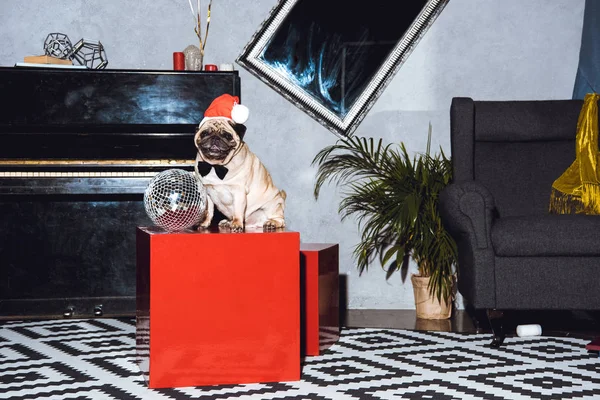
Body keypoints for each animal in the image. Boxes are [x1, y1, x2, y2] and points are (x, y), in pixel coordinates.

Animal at [193, 94, 284, 231]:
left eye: (227, 135)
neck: (216, 166)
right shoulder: (207, 191)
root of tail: (253, 224)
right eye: (204, 133)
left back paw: (272, 223)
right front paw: (204, 223)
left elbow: (237, 211)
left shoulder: (239, 192)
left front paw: (236, 224)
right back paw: (227, 222)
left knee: (280, 219)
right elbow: (209, 211)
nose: (215, 138)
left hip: (273, 205)